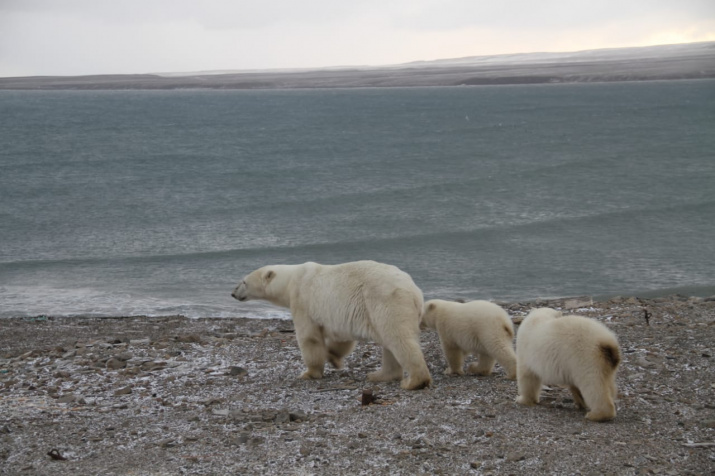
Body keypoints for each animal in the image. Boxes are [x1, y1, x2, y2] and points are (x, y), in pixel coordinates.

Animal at [231, 260, 430, 390]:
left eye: (244, 281)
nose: (233, 293)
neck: (291, 279)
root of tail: (415, 291)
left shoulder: (302, 300)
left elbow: (309, 337)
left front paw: (309, 373)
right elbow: (341, 337)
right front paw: (333, 358)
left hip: (386, 301)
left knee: (398, 339)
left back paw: (414, 381)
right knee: (389, 343)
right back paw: (379, 375)